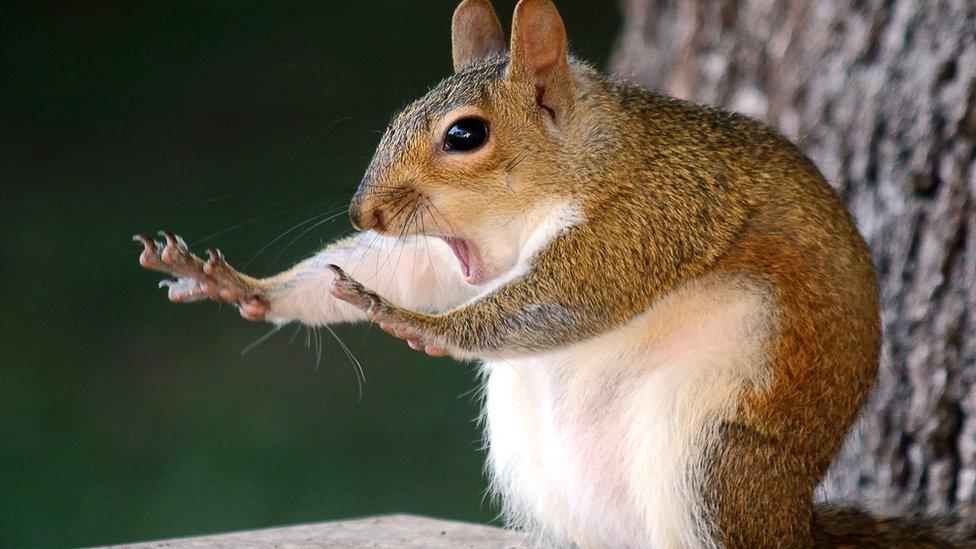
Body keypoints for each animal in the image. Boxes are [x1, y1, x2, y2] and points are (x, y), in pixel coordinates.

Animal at [133, 1, 972, 544]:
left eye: (464, 135)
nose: (363, 210)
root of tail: (793, 517)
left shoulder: (653, 214)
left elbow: (564, 299)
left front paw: (416, 323)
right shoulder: (454, 251)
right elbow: (411, 270)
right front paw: (244, 286)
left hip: (713, 458)